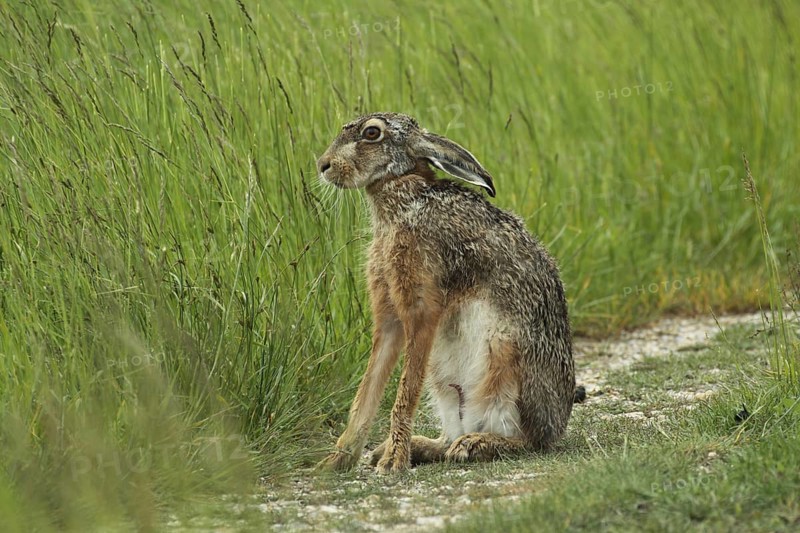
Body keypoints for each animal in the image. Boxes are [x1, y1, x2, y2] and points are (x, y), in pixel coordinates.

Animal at [315, 112, 575, 474]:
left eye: (371, 133)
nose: (323, 165)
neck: (404, 198)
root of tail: (557, 423)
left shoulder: (422, 307)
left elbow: (405, 391)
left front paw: (394, 462)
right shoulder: (389, 314)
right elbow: (367, 391)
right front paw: (337, 461)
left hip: (502, 360)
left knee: (530, 442)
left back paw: (473, 445)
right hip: (444, 383)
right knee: (450, 435)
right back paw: (414, 447)